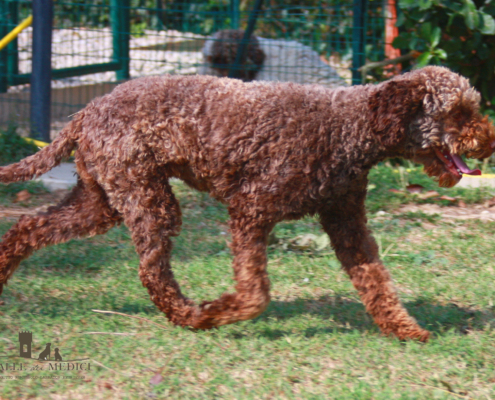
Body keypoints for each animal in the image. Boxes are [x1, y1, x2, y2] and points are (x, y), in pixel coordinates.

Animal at [0, 66, 495, 340]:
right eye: (458, 113)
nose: (489, 141)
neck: (348, 127)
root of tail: (86, 111)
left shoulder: (348, 222)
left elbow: (376, 281)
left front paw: (403, 329)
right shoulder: (250, 211)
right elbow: (256, 294)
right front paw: (220, 312)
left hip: (101, 201)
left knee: (27, 228)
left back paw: (3, 276)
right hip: (147, 198)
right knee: (150, 271)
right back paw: (189, 316)